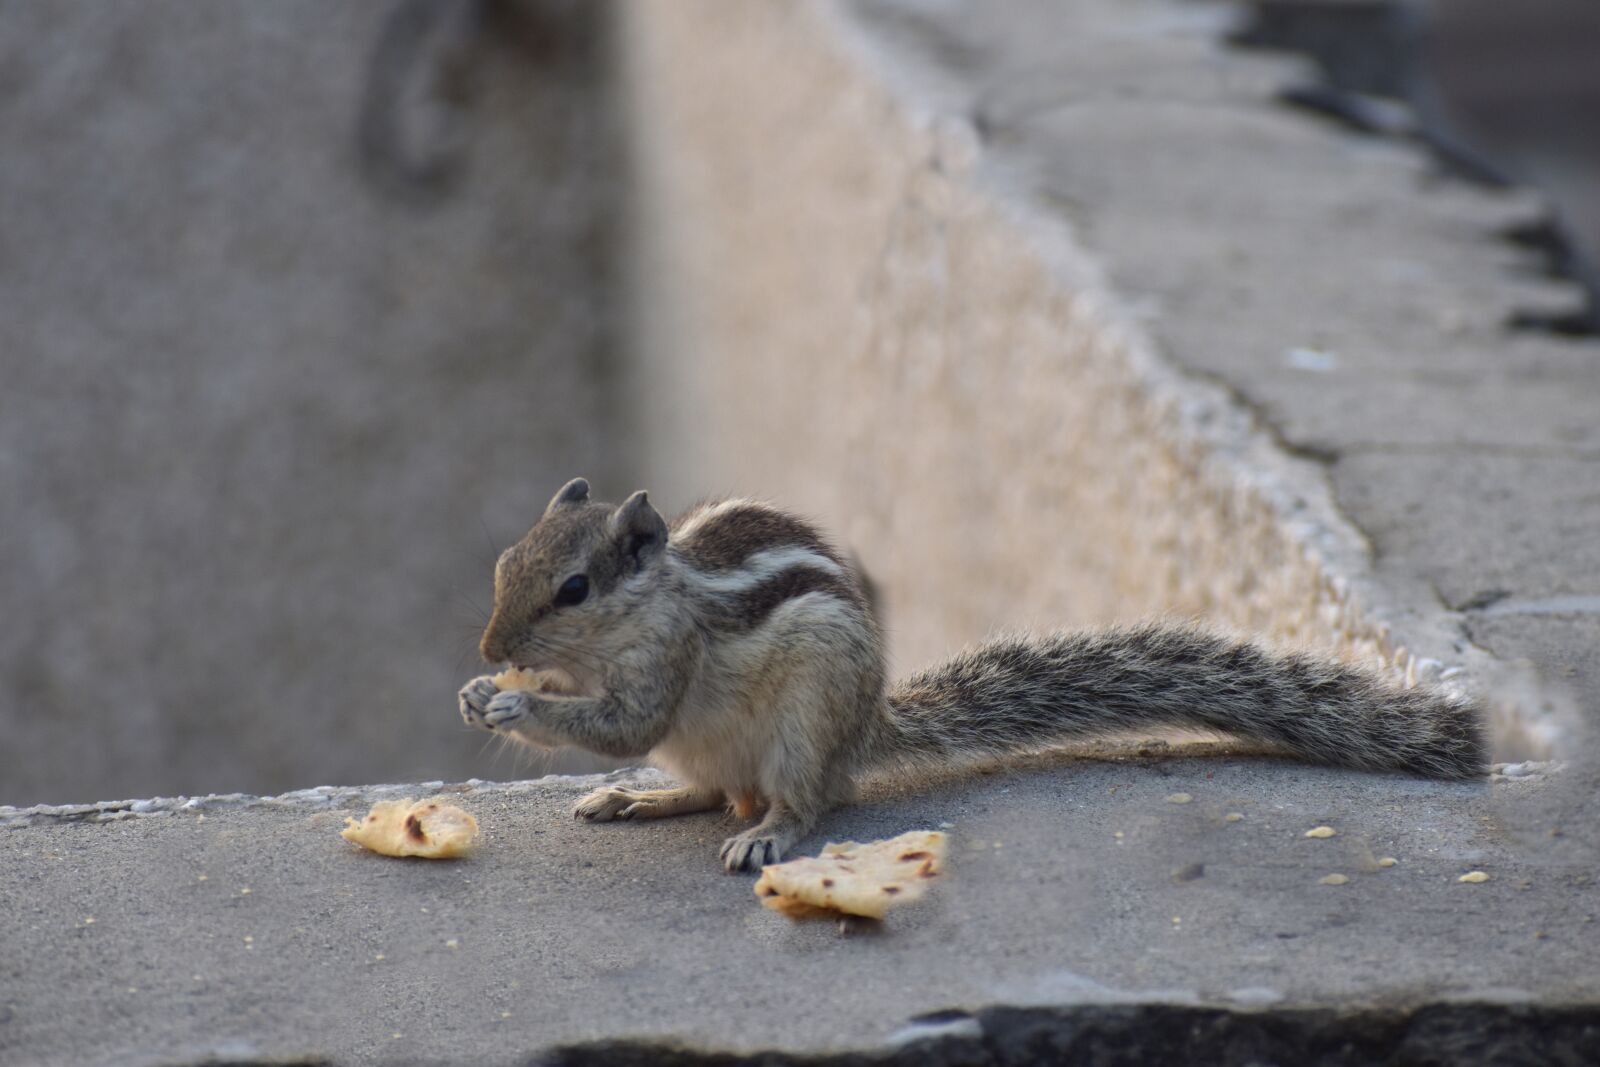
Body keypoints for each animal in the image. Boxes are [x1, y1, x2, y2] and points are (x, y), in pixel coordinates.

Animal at [459, 478, 1485, 872]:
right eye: (505, 562)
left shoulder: (664, 664)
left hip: (804, 726)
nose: (486, 651)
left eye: (573, 588)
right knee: (710, 791)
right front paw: (482, 695)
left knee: (795, 801)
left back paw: (769, 833)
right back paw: (639, 799)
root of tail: (863, 730)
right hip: (712, 751)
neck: (654, 599)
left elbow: (621, 723)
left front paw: (510, 701)